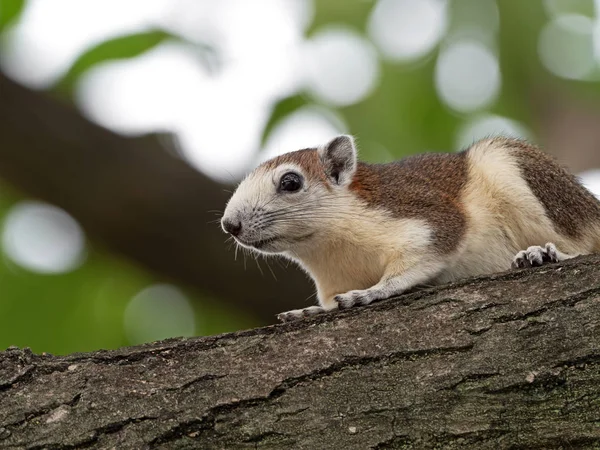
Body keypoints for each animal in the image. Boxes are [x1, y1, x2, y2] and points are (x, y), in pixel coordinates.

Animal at [220, 135, 600, 322]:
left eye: (290, 182)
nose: (229, 224)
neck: (327, 248)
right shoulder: (331, 281)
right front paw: (312, 311)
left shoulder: (424, 217)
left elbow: (424, 254)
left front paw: (372, 292)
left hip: (516, 174)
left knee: (585, 246)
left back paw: (546, 253)